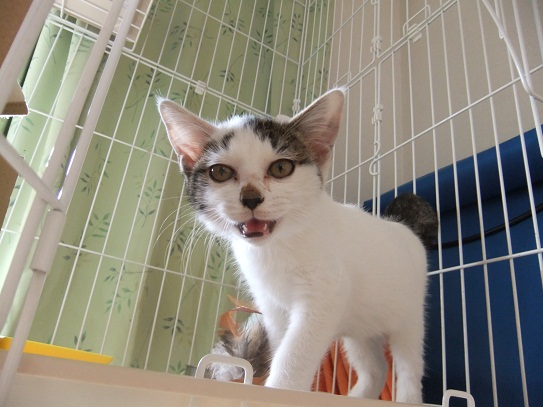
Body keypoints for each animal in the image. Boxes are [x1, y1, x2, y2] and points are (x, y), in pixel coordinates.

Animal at [158, 89, 437, 404]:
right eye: (220, 172)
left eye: (281, 168)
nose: (251, 197)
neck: (277, 248)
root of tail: (404, 227)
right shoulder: (272, 306)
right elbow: (280, 342)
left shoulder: (325, 295)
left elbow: (295, 353)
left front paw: (280, 390)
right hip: (360, 326)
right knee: (375, 366)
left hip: (409, 314)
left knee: (409, 365)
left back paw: (408, 398)